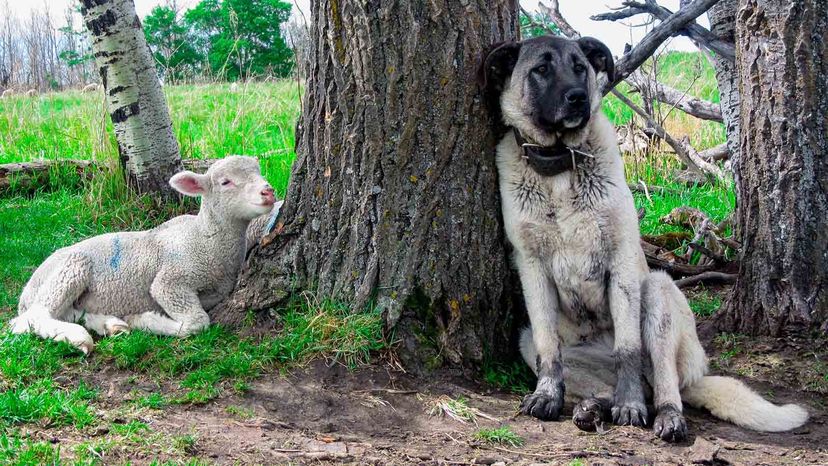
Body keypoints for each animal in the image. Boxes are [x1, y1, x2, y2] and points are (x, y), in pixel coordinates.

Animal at [8, 157, 278, 354]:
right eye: (225, 182)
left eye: (259, 172)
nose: (269, 192)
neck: (204, 240)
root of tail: (27, 290)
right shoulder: (171, 281)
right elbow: (197, 322)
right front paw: (144, 320)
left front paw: (133, 320)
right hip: (69, 270)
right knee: (30, 320)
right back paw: (77, 336)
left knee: (65, 312)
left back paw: (111, 325)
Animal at [478, 35, 808, 440]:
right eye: (541, 69)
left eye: (579, 67)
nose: (578, 98)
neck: (560, 167)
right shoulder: (532, 266)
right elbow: (548, 347)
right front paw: (547, 395)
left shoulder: (620, 261)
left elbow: (628, 349)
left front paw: (630, 406)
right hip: (531, 343)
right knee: (596, 380)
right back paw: (593, 407)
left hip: (659, 293)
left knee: (662, 384)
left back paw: (664, 414)